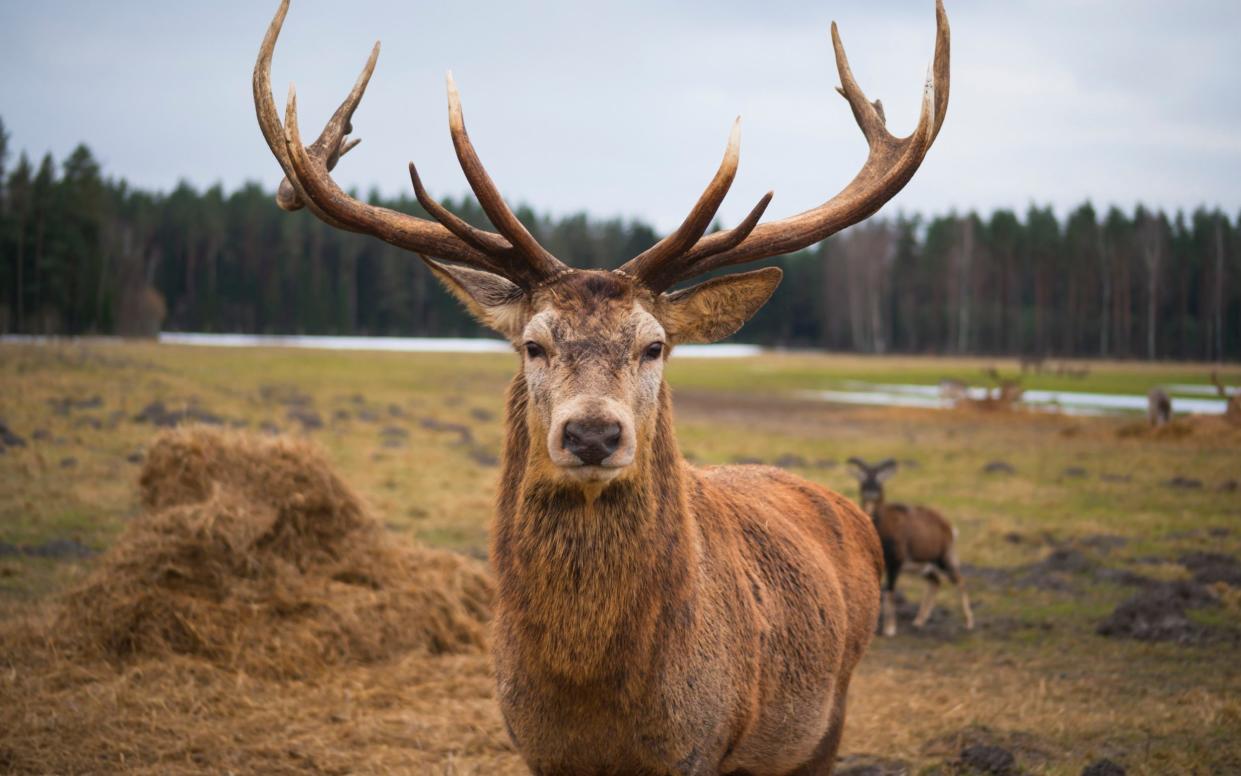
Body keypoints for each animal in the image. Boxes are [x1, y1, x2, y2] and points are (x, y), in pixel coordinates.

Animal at [251, 3, 948, 769]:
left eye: (655, 346)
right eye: (532, 343)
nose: (592, 433)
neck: (594, 699)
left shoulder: (701, 746)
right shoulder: (533, 746)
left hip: (827, 718)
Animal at [848, 454, 972, 635]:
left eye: (879, 479)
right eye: (863, 478)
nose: (871, 493)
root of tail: (947, 525)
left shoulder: (895, 564)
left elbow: (889, 592)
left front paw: (890, 629)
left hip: (944, 560)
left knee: (960, 581)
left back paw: (968, 622)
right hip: (926, 567)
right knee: (935, 582)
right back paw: (918, 622)